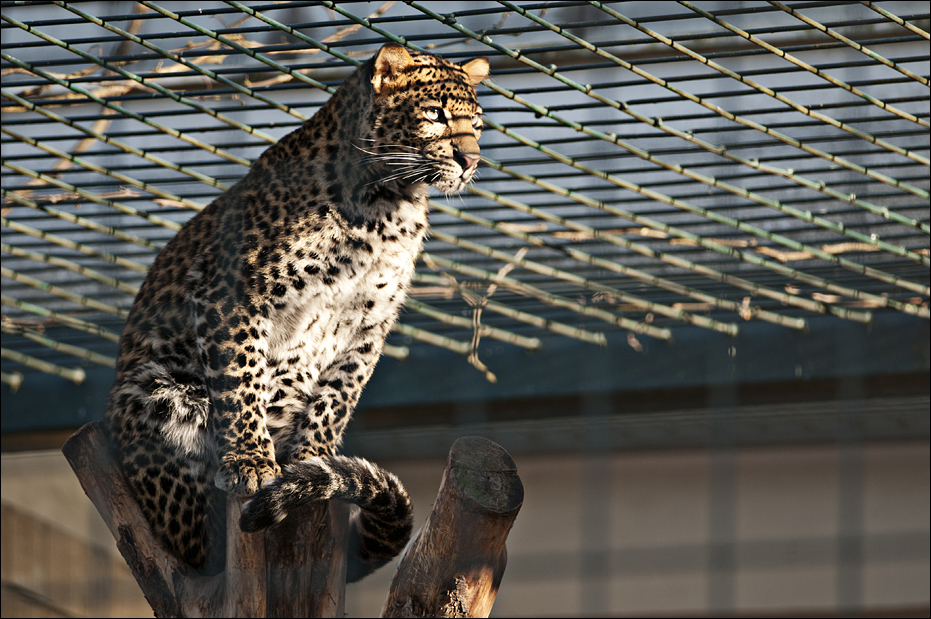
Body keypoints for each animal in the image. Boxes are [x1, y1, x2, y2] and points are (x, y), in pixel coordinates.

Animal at [104, 43, 489, 581]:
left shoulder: (369, 325)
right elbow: (241, 381)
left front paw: (311, 461)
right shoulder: (233, 294)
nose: (471, 159)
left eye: (477, 124)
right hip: (152, 391)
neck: (385, 208)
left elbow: (339, 397)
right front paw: (251, 463)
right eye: (435, 115)